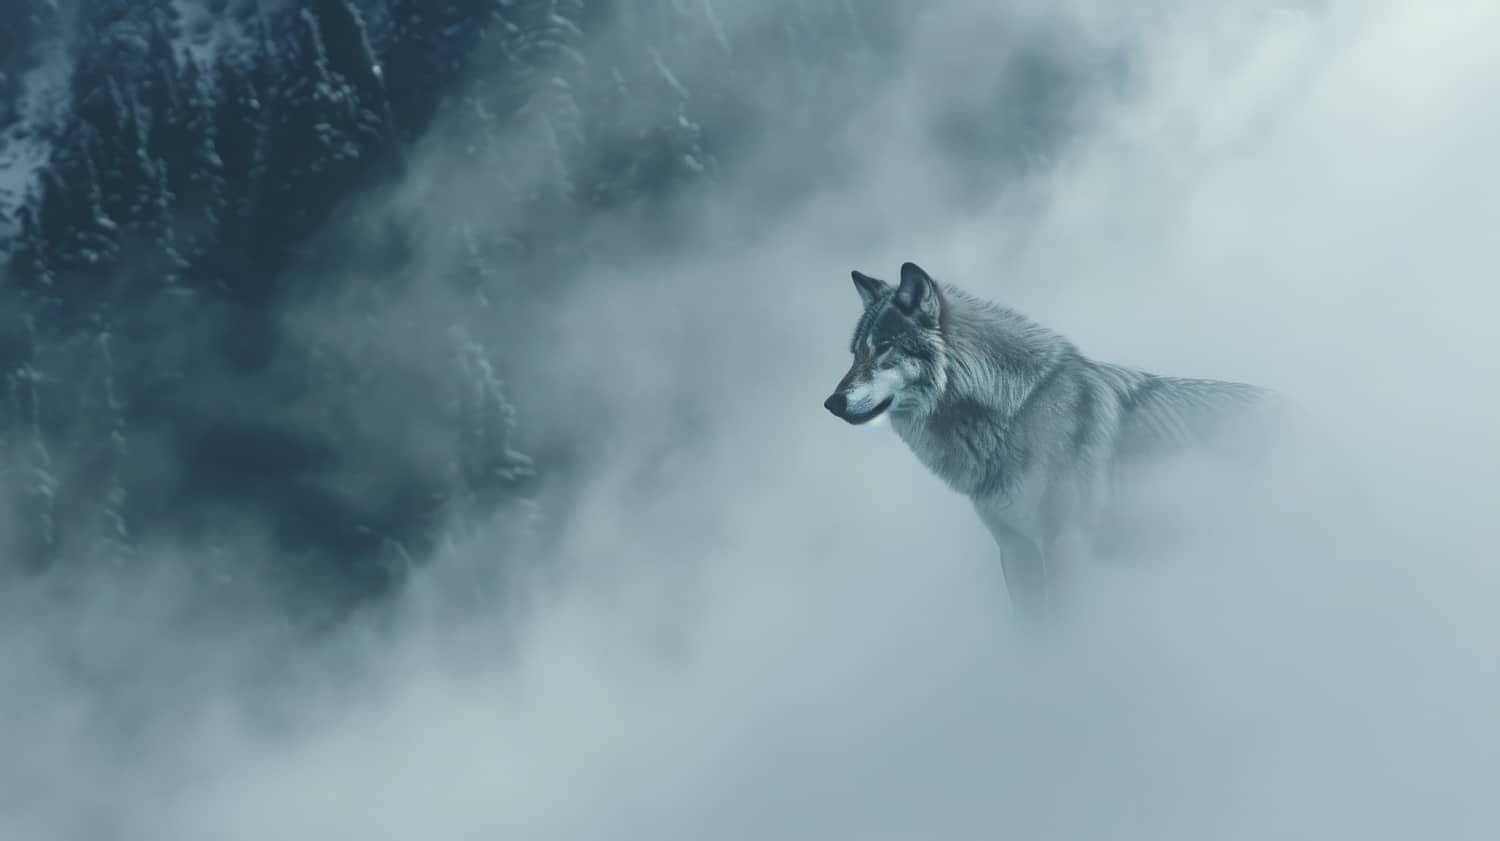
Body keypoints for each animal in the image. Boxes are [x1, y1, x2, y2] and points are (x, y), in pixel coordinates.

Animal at [824, 261, 1305, 619]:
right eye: (855, 353)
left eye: (885, 347)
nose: (831, 402)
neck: (1015, 410)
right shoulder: (1015, 549)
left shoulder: (1067, 544)